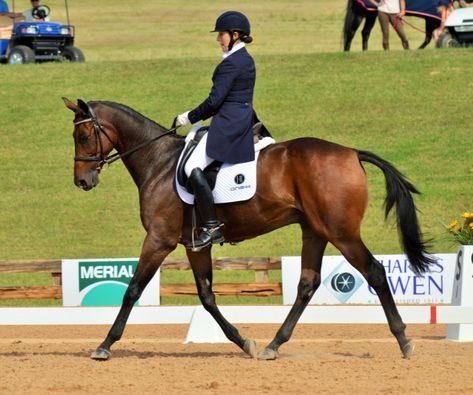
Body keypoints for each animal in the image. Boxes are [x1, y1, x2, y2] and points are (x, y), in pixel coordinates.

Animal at [63, 98, 436, 362]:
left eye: (83, 135)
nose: (82, 181)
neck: (158, 161)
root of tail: (351, 153)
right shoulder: (195, 244)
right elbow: (207, 297)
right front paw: (244, 342)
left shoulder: (159, 239)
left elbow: (133, 290)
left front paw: (104, 344)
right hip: (314, 231)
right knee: (307, 284)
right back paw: (273, 345)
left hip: (341, 233)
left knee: (374, 271)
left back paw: (404, 340)